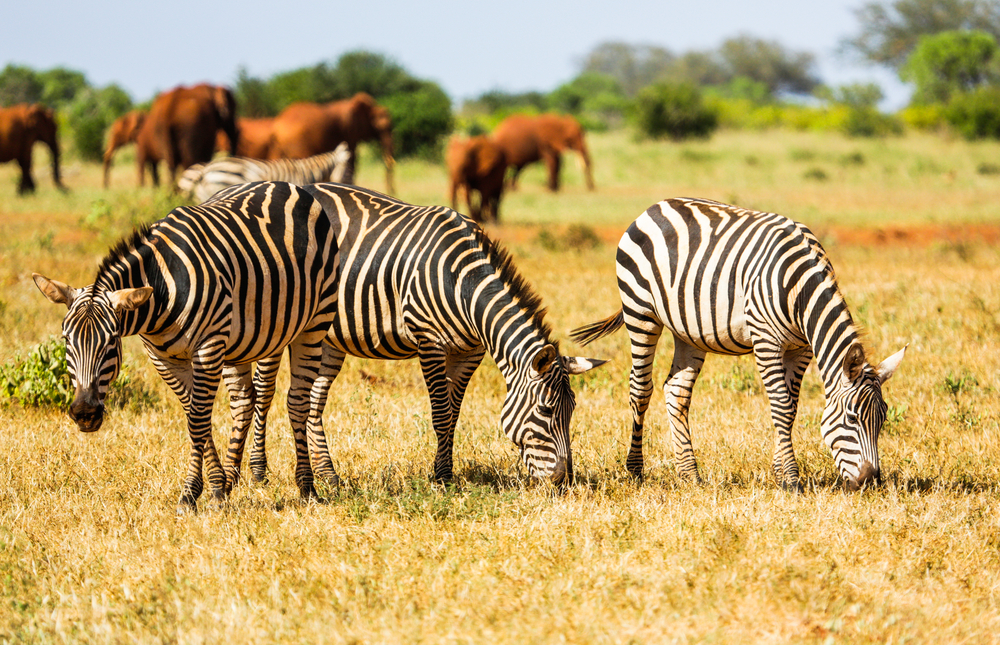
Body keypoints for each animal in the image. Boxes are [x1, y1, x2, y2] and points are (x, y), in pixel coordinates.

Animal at [34, 181, 340, 512]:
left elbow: (197, 419)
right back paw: (233, 480)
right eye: (66, 339)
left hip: (313, 323)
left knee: (297, 401)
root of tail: (285, 184)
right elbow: (196, 418)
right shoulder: (162, 357)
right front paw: (215, 488)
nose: (85, 414)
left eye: (112, 341)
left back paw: (307, 486)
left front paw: (194, 493)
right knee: (244, 401)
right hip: (247, 339)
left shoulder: (208, 347)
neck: (161, 295)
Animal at [223, 182, 604, 488]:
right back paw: (258, 471)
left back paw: (328, 474)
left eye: (572, 411)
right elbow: (440, 414)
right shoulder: (429, 342)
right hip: (278, 321)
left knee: (314, 400)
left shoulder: (469, 352)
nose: (564, 481)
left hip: (328, 336)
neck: (463, 285)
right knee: (264, 392)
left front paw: (445, 471)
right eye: (545, 410)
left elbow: (453, 415)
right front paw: (442, 480)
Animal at [572, 196, 908, 488]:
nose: (870, 481)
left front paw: (779, 471)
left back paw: (689, 474)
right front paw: (790, 479)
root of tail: (655, 206)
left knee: (676, 391)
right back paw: (635, 470)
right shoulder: (766, 340)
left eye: (882, 419)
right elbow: (781, 405)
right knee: (640, 389)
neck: (801, 289)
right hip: (640, 311)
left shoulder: (800, 349)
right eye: (852, 417)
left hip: (688, 331)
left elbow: (791, 408)